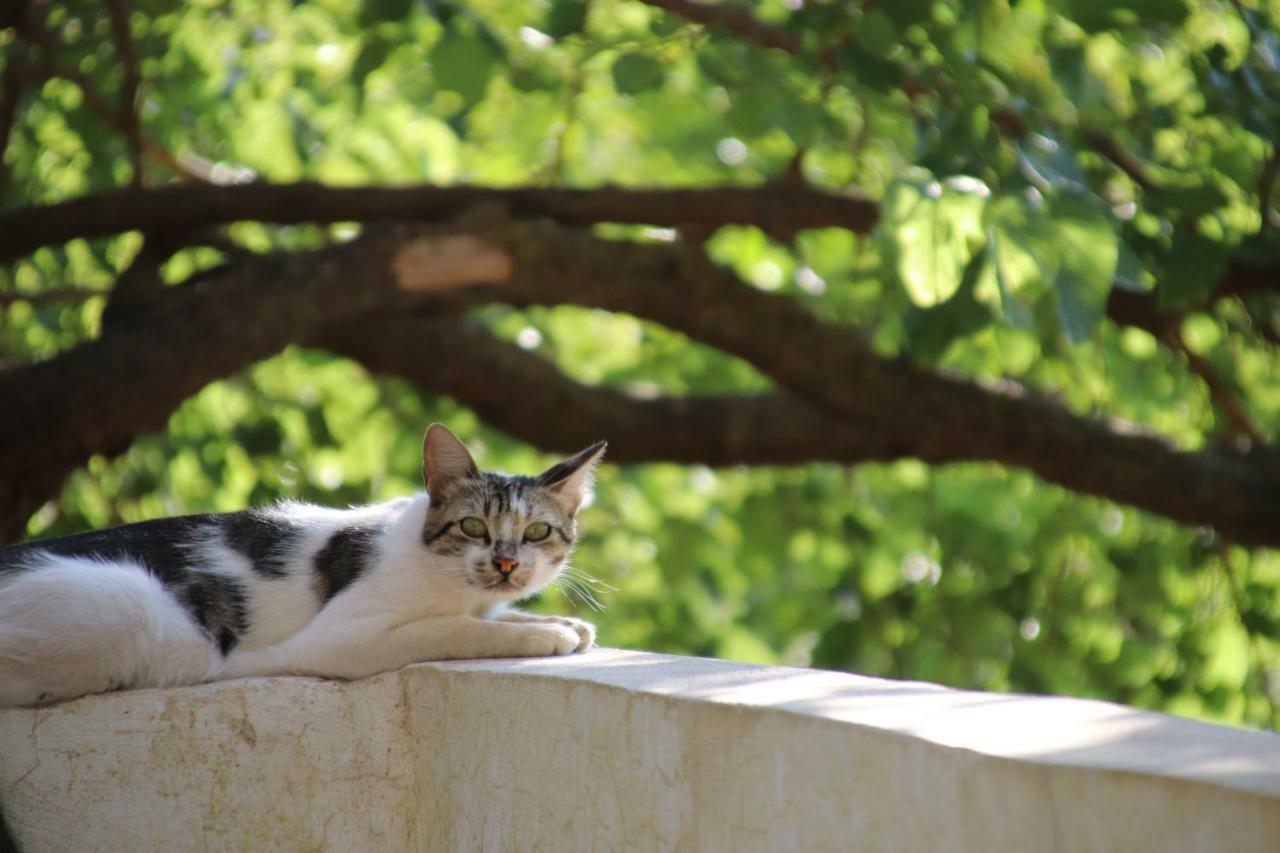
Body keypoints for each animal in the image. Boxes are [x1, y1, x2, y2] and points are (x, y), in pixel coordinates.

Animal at [0, 422, 606, 706]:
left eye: (536, 532)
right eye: (473, 527)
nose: (505, 564)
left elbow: (488, 617)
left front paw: (561, 622)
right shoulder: (344, 637)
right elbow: (452, 629)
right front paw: (544, 634)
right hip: (130, 604)